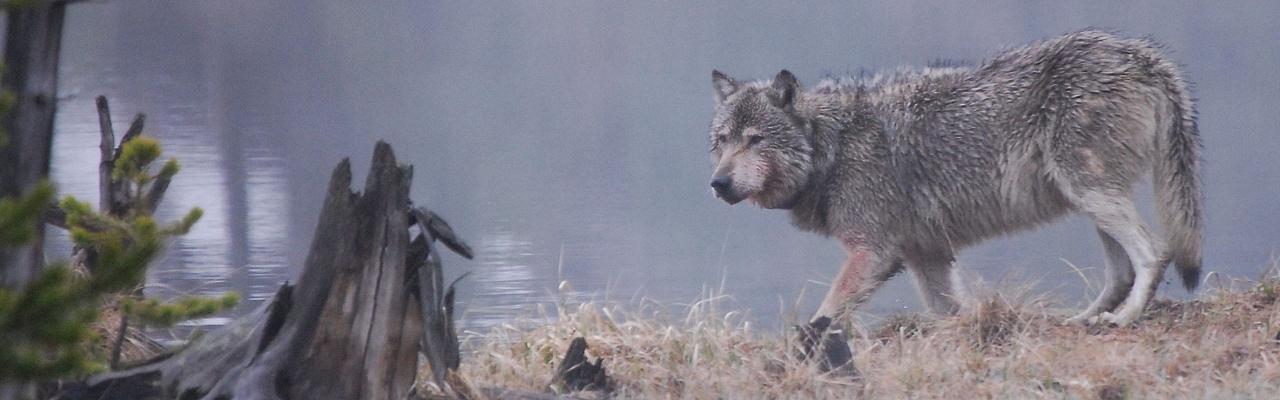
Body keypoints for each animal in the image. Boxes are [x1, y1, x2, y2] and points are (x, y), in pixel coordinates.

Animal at [705, 30, 1203, 327]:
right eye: (723, 141)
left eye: (755, 140)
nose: (718, 184)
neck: (832, 147)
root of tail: (1143, 55)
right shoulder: (927, 255)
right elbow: (950, 312)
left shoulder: (873, 252)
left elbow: (825, 316)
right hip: (1088, 199)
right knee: (1121, 272)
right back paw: (1080, 319)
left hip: (1092, 193)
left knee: (1155, 253)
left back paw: (1124, 318)